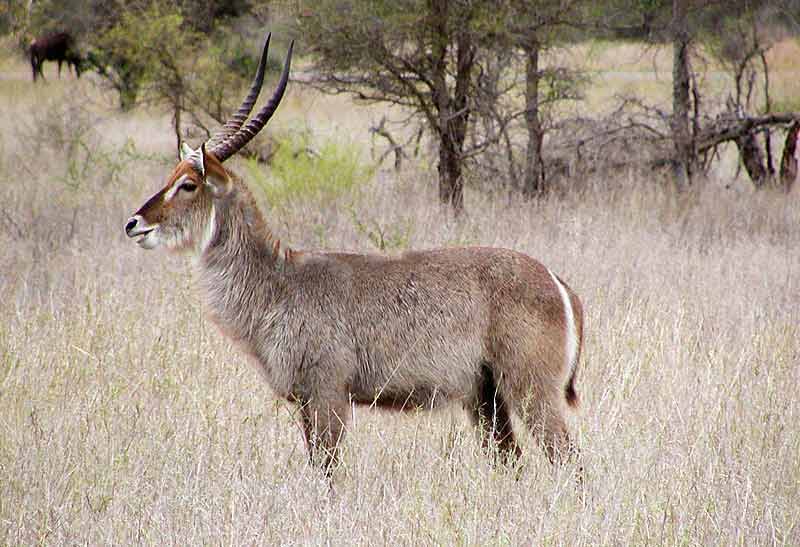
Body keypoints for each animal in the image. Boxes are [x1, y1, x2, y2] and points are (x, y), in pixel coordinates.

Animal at [126, 33, 588, 480]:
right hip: (486, 397)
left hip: (530, 389)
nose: (133, 223)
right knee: (513, 462)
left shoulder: (327, 393)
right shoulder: (306, 400)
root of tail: (557, 281)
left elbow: (329, 471)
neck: (278, 282)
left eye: (188, 184)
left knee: (570, 461)